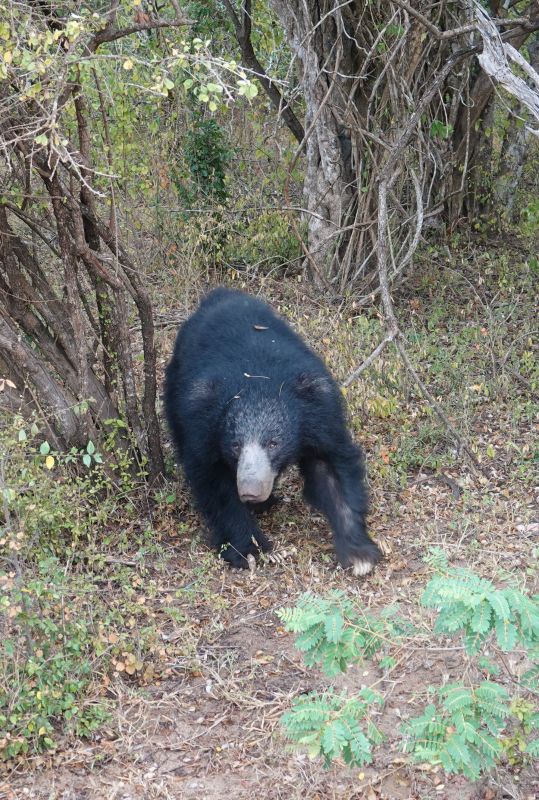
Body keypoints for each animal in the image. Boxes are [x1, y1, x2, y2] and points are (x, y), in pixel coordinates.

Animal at [164, 288, 381, 576]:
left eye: (273, 443)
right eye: (235, 445)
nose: (250, 491)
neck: (257, 381)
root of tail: (220, 294)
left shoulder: (320, 413)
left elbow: (331, 468)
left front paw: (359, 556)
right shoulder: (202, 426)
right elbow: (216, 486)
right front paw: (250, 551)